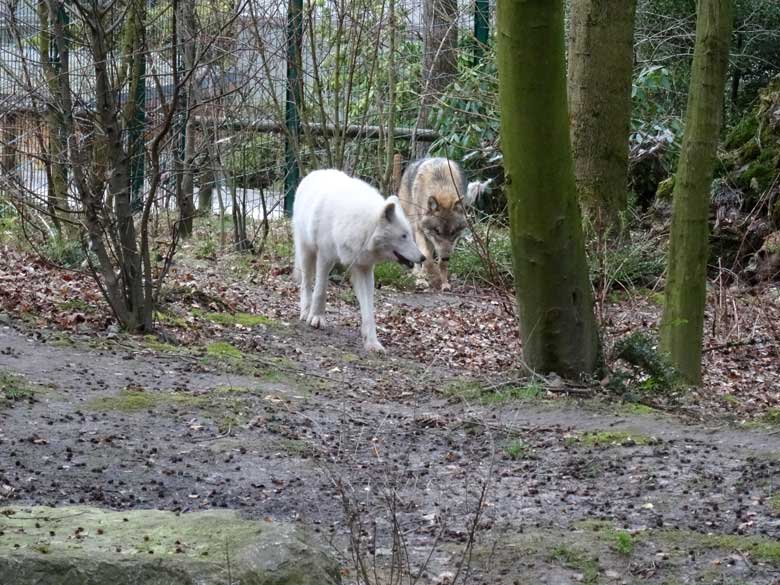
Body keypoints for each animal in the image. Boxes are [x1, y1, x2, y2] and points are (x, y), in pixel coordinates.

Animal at [294, 169, 426, 352]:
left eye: (410, 236)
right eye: (403, 236)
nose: (423, 258)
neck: (359, 225)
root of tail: (314, 172)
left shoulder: (364, 269)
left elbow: (368, 310)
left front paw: (372, 342)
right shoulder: (325, 257)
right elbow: (321, 290)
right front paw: (317, 318)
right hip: (307, 252)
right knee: (306, 284)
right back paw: (306, 312)